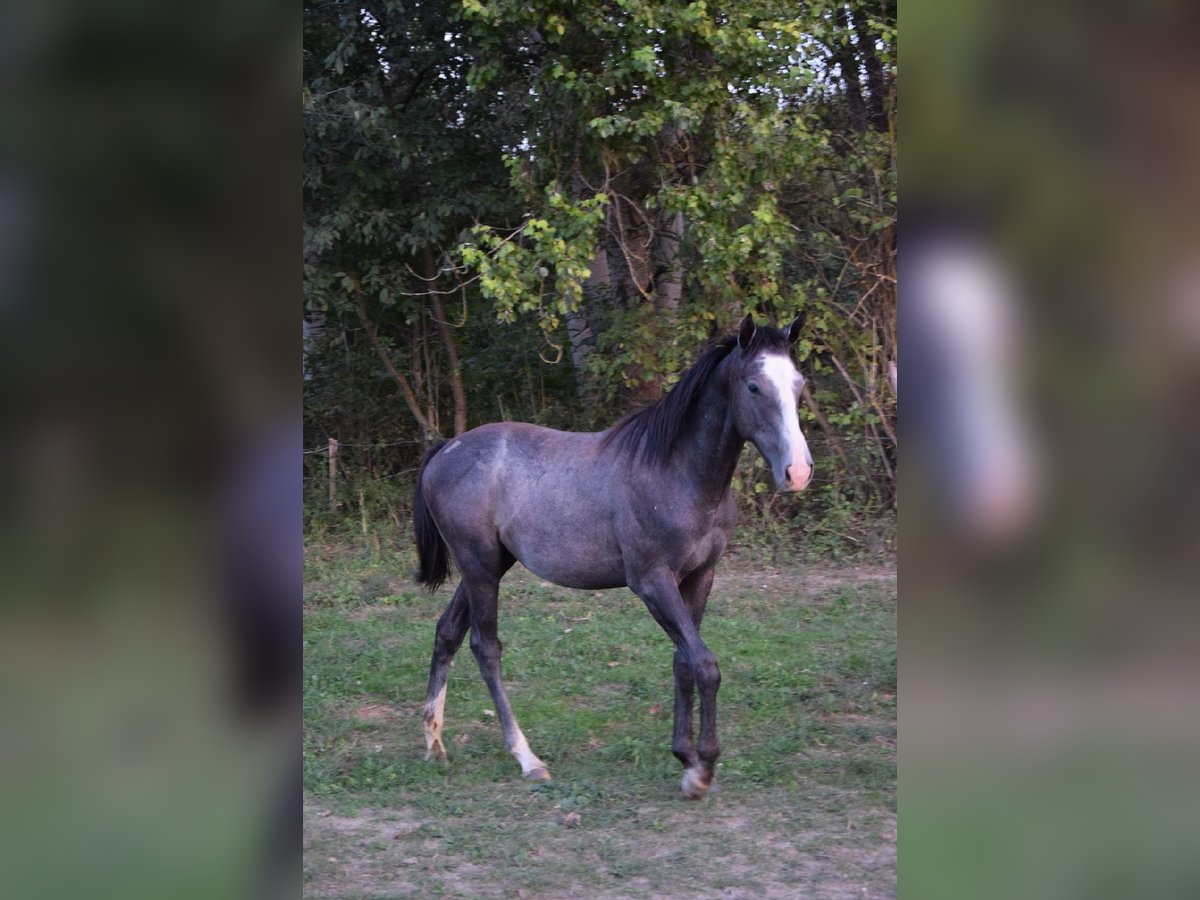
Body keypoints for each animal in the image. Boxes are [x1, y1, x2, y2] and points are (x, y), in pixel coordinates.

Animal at [412, 316, 816, 801]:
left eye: (798, 384)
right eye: (754, 386)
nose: (798, 472)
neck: (676, 472)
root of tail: (447, 449)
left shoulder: (700, 577)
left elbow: (684, 661)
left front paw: (684, 756)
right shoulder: (652, 582)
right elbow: (704, 664)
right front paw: (702, 769)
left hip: (488, 566)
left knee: (447, 633)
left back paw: (434, 743)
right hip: (480, 569)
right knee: (485, 648)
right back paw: (527, 758)